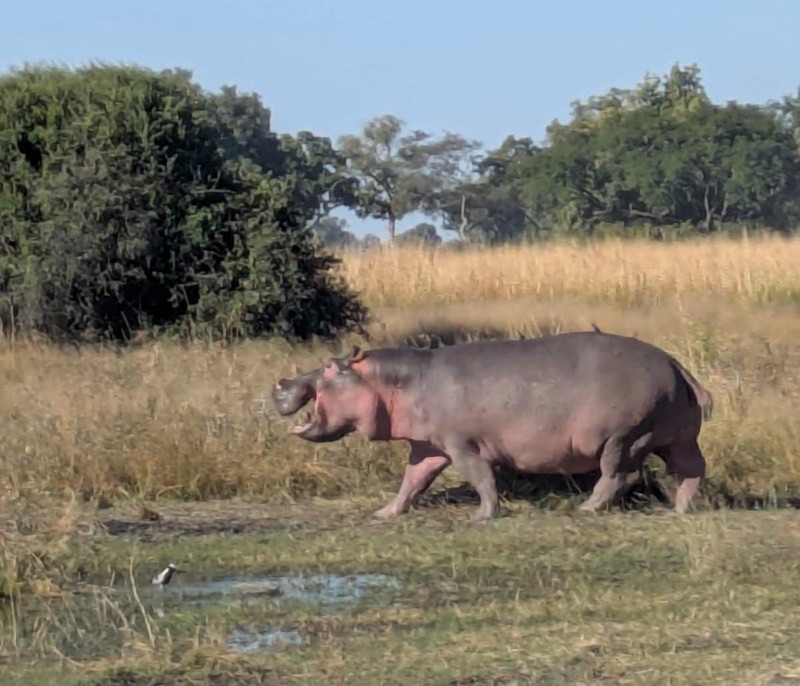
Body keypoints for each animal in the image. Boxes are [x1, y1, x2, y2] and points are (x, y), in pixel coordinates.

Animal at [272, 331, 713, 521]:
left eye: (329, 367)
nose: (281, 382)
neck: (400, 381)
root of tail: (674, 363)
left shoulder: (462, 445)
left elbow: (482, 478)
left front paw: (481, 517)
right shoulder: (428, 446)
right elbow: (412, 480)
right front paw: (386, 512)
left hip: (621, 436)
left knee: (620, 474)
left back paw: (587, 507)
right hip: (675, 437)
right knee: (692, 469)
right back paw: (680, 508)